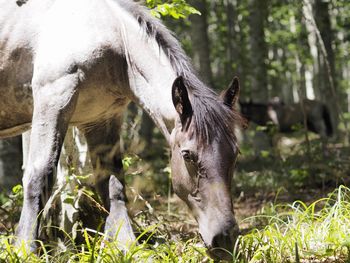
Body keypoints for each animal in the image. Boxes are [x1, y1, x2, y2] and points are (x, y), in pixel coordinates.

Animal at [0, 0, 245, 260]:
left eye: (235, 153)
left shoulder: (102, 120)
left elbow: (113, 187)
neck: (114, 38)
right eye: (187, 155)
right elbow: (39, 177)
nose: (225, 238)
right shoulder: (52, 100)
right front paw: (25, 250)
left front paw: (129, 247)